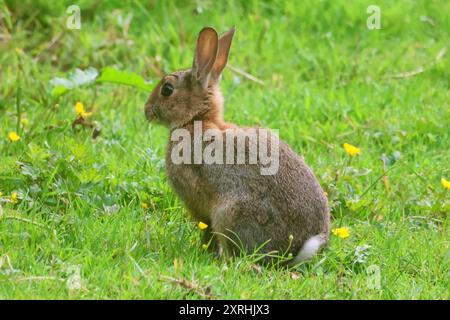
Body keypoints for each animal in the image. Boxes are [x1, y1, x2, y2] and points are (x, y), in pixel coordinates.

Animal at [145, 26, 330, 262]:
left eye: (167, 89)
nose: (146, 110)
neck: (197, 120)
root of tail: (297, 248)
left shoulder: (199, 204)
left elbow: (206, 230)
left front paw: (204, 252)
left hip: (231, 213)